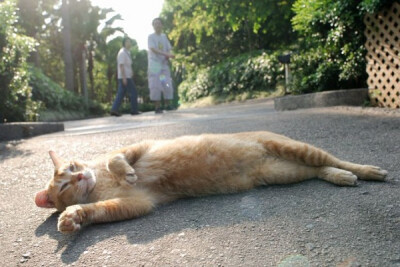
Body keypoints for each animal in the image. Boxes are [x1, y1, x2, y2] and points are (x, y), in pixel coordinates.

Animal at [35, 132, 388, 234]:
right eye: (63, 186)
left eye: (72, 167)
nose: (81, 176)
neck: (100, 185)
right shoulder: (137, 203)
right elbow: (98, 210)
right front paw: (72, 218)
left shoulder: (139, 148)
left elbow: (115, 159)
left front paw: (125, 172)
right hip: (285, 172)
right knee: (320, 169)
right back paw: (341, 178)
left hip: (296, 150)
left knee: (335, 158)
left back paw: (368, 171)